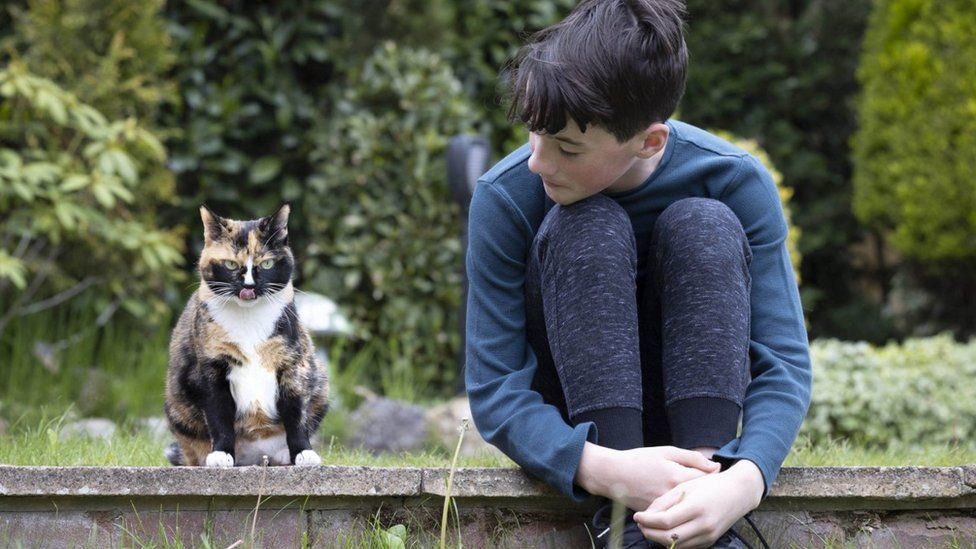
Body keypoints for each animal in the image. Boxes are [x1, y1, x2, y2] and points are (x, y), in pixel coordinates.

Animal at [161, 203, 328, 464]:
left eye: (267, 264)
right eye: (230, 264)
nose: (249, 286)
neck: (249, 321)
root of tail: (257, 457)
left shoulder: (293, 363)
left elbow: (296, 412)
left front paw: (304, 453)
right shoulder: (211, 368)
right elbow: (219, 415)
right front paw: (221, 454)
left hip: (320, 380)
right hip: (176, 407)